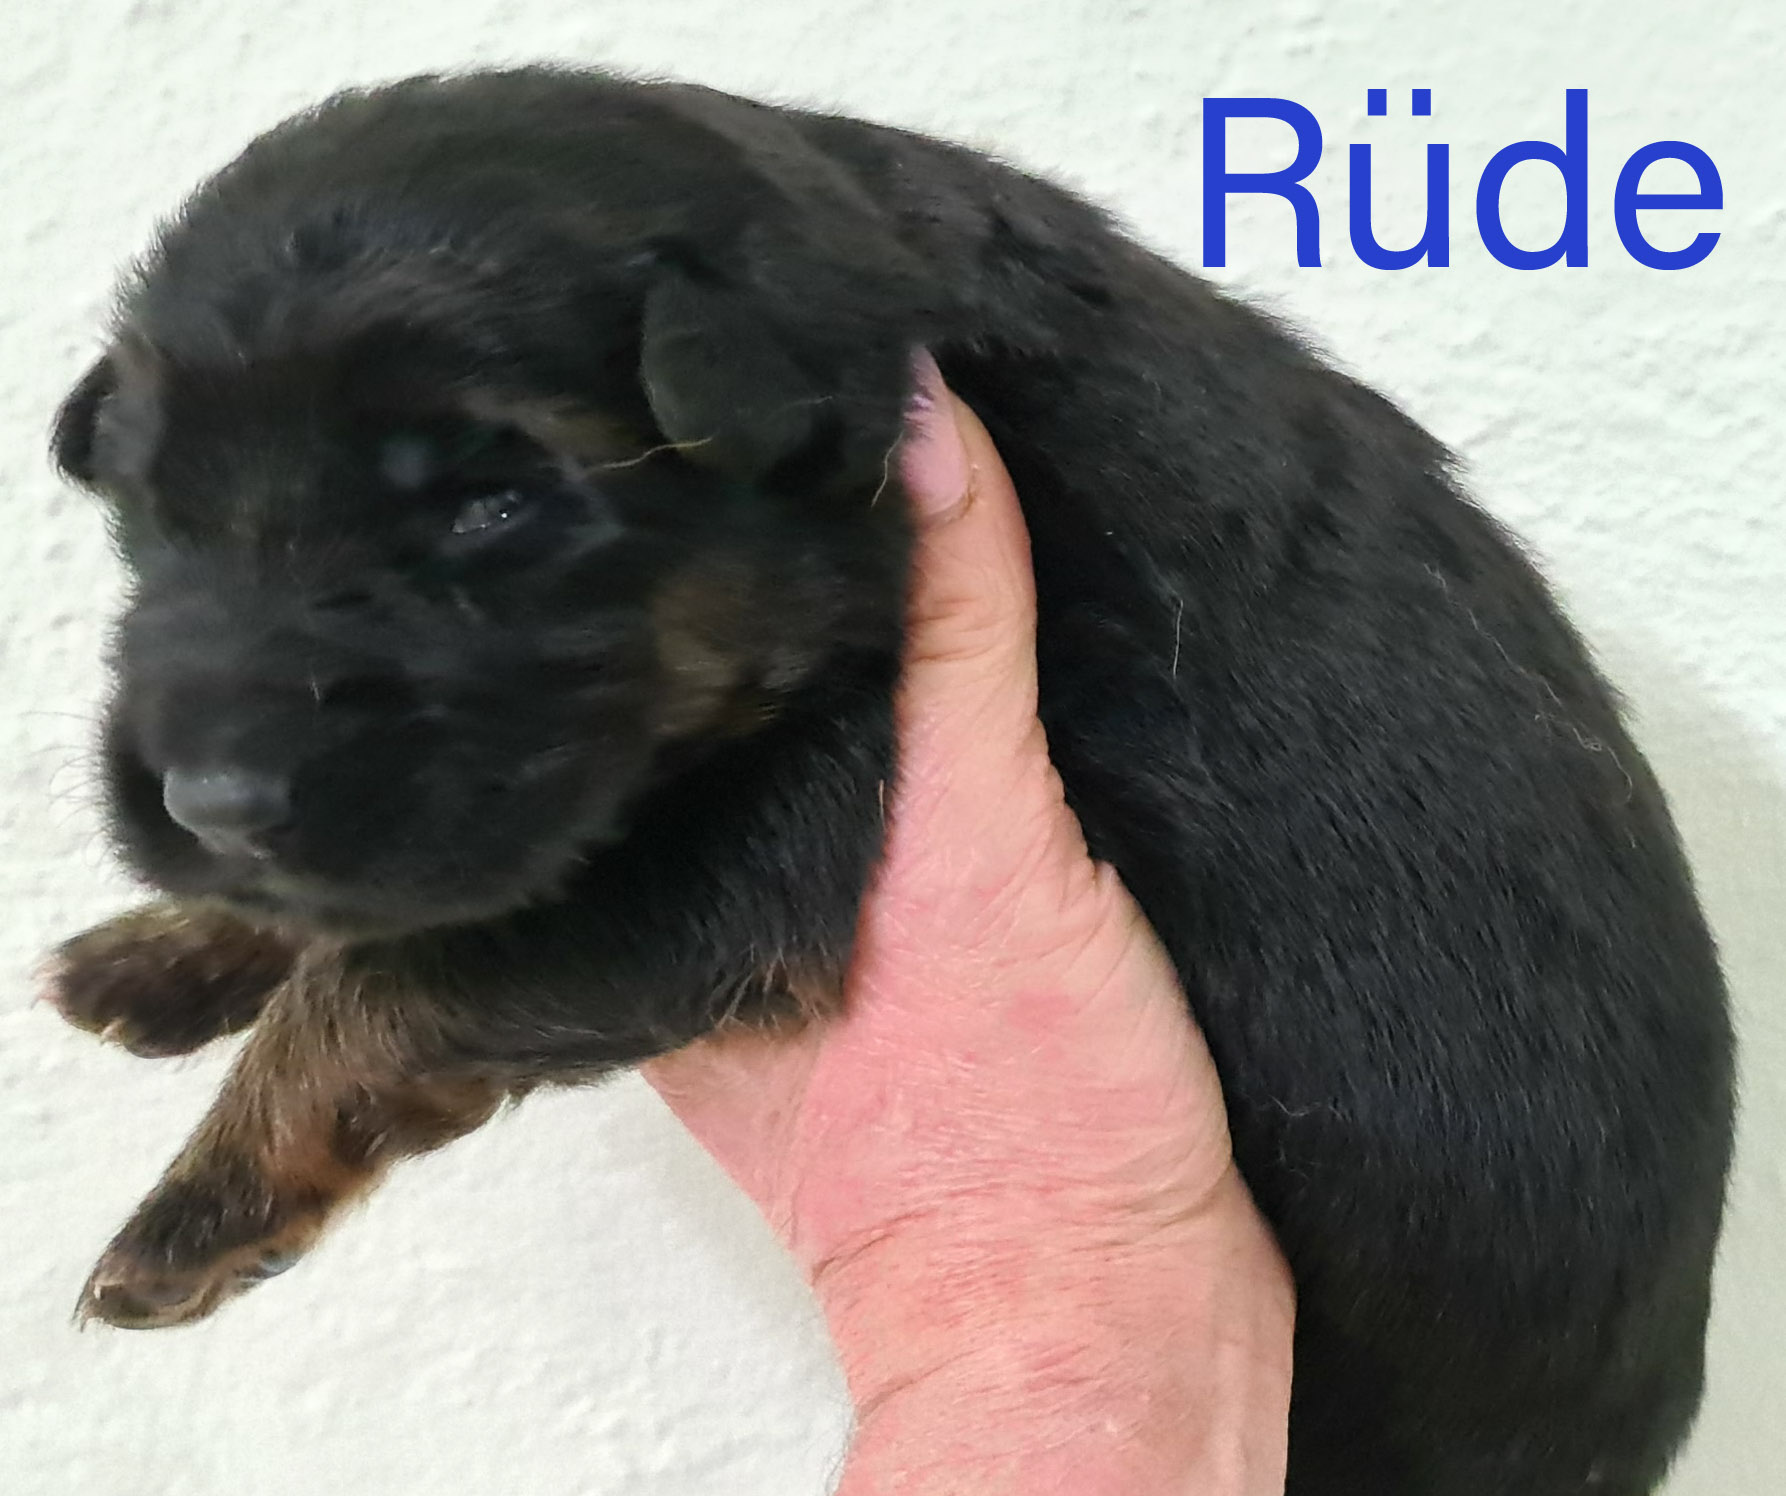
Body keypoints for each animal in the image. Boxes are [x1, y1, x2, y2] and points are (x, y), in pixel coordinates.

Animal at [40, 67, 1732, 1495]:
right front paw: (169, 949)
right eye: (151, 510)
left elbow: (398, 971)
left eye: (492, 507)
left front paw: (194, 1211)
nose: (211, 804)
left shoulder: (768, 837)